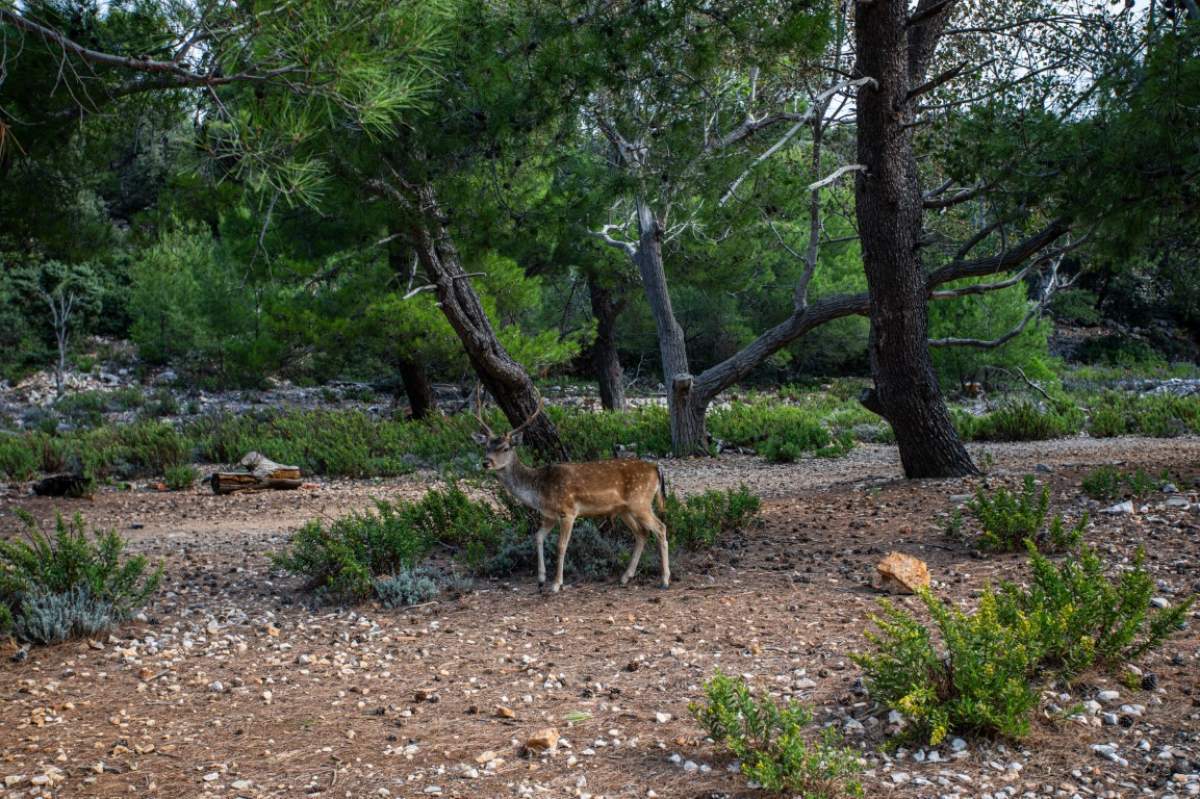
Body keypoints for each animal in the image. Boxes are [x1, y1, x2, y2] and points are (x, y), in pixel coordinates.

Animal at [470, 386, 676, 590]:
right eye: (486, 447)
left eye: (505, 448)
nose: (486, 462)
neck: (538, 491)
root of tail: (656, 468)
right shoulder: (549, 515)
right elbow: (538, 537)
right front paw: (541, 579)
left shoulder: (568, 511)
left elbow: (561, 546)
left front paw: (556, 584)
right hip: (625, 509)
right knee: (642, 533)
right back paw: (625, 577)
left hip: (640, 501)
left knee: (660, 528)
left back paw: (665, 580)